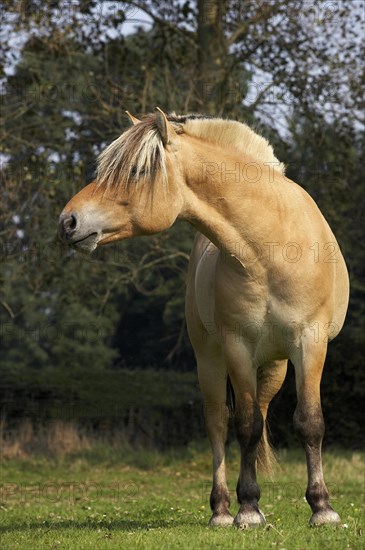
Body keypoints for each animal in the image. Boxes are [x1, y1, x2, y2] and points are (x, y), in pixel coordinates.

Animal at [59, 109, 350, 532]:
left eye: (137, 171)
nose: (68, 221)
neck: (272, 247)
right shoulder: (237, 345)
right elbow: (244, 426)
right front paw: (247, 509)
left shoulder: (310, 343)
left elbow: (308, 421)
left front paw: (322, 508)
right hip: (210, 360)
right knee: (219, 423)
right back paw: (222, 509)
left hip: (275, 365)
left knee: (261, 413)